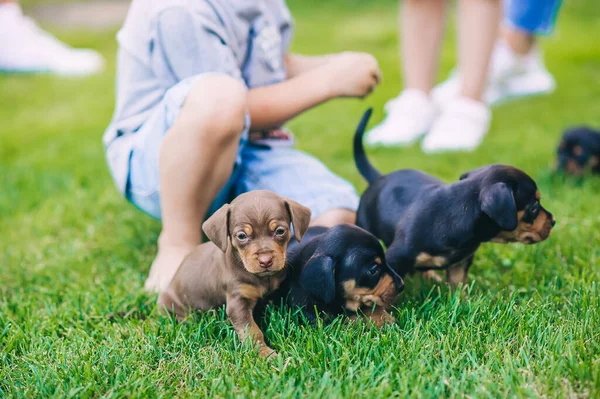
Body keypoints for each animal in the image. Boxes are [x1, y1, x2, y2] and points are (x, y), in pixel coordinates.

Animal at [157, 191, 312, 360]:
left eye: (280, 231)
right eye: (242, 235)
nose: (265, 261)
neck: (260, 278)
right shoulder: (238, 302)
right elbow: (252, 331)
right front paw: (264, 353)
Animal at [354, 109, 556, 288]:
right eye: (534, 206)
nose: (553, 221)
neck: (458, 212)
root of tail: (378, 178)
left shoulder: (461, 262)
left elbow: (458, 285)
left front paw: (462, 301)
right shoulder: (395, 258)